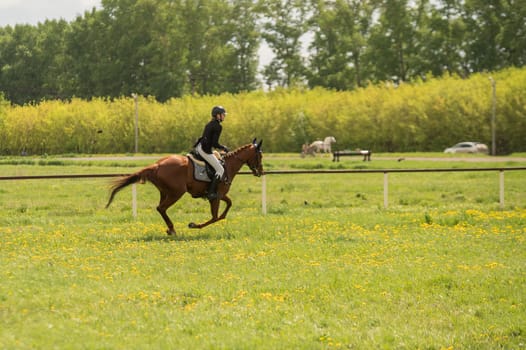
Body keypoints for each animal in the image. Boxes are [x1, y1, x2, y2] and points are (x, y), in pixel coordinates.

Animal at [105, 139, 266, 235]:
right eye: (260, 156)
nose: (261, 172)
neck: (228, 165)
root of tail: (157, 165)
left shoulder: (220, 195)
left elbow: (227, 208)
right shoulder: (216, 196)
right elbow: (214, 217)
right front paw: (194, 225)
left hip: (165, 192)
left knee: (160, 208)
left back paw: (170, 229)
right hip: (177, 193)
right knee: (161, 208)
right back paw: (172, 229)